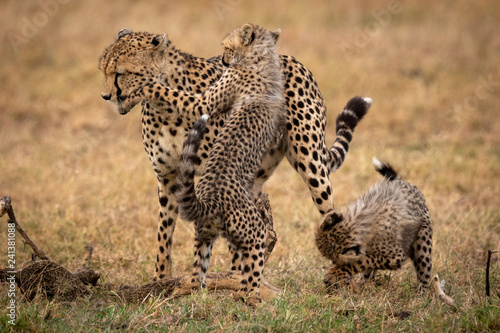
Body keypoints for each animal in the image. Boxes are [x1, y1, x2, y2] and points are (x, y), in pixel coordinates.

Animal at [99, 27, 370, 280]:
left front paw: (215, 280)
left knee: (329, 213)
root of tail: (293, 59)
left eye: (121, 73)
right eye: (103, 70)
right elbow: (164, 231)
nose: (106, 96)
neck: (164, 111)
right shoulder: (167, 176)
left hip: (310, 163)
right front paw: (161, 279)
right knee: (264, 229)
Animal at [316, 158, 434, 290]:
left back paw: (421, 293)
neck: (357, 224)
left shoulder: (396, 257)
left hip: (423, 242)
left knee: (424, 271)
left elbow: (363, 260)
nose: (333, 264)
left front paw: (335, 274)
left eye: (334, 259)